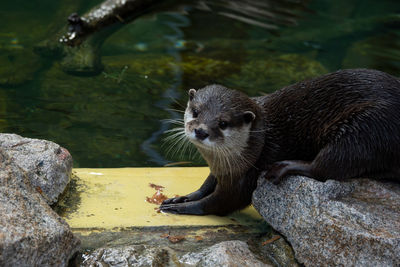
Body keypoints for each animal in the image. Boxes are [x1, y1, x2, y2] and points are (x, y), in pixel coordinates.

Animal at [159, 68, 400, 216]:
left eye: (223, 123)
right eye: (196, 112)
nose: (201, 131)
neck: (258, 144)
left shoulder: (246, 176)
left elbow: (222, 202)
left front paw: (184, 207)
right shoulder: (222, 169)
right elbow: (207, 184)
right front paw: (183, 198)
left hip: (366, 127)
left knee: (330, 165)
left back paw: (286, 166)